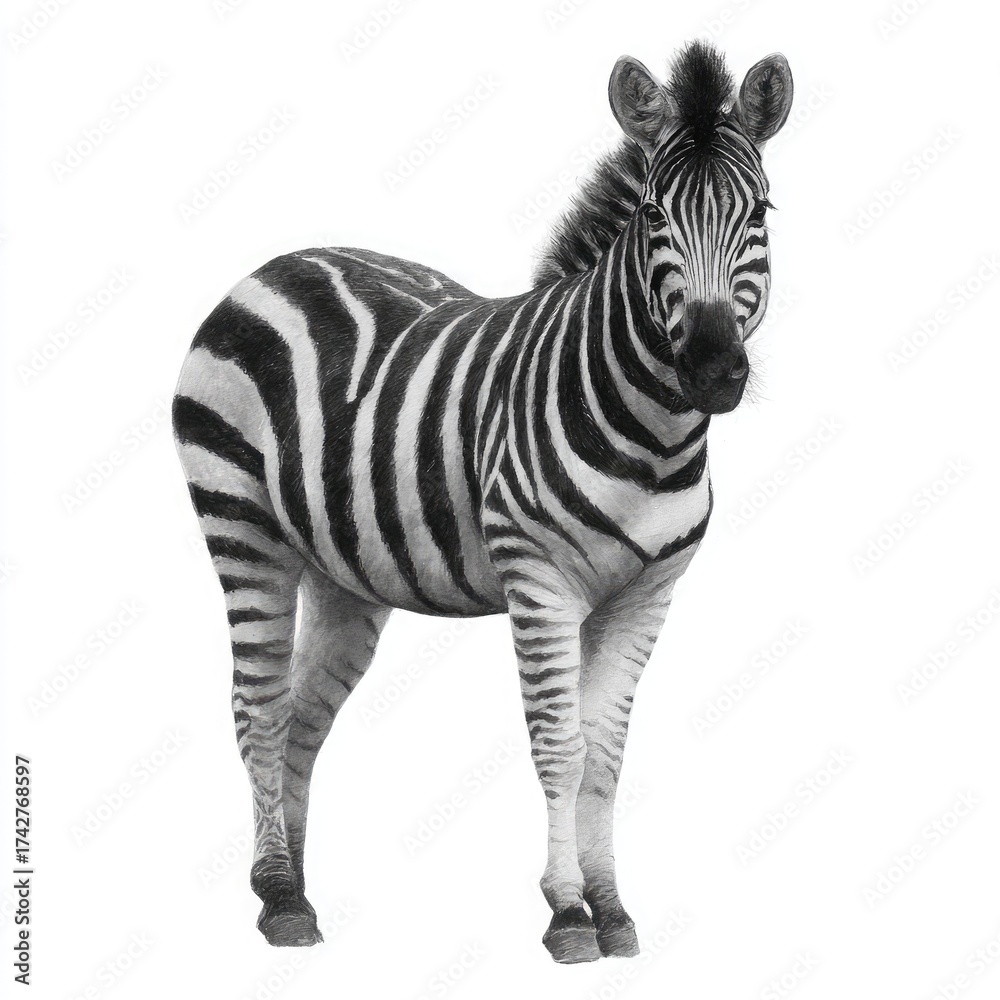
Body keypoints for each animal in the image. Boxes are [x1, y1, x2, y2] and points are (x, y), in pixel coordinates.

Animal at [172, 40, 793, 963]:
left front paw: (612, 908)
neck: (654, 437)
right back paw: (280, 897)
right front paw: (567, 914)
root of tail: (280, 262)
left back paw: (293, 889)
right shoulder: (539, 583)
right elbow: (560, 747)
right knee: (259, 710)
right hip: (243, 529)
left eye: (760, 213)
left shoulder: (647, 596)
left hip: (342, 571)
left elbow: (607, 755)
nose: (714, 371)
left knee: (303, 720)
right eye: (654, 216)